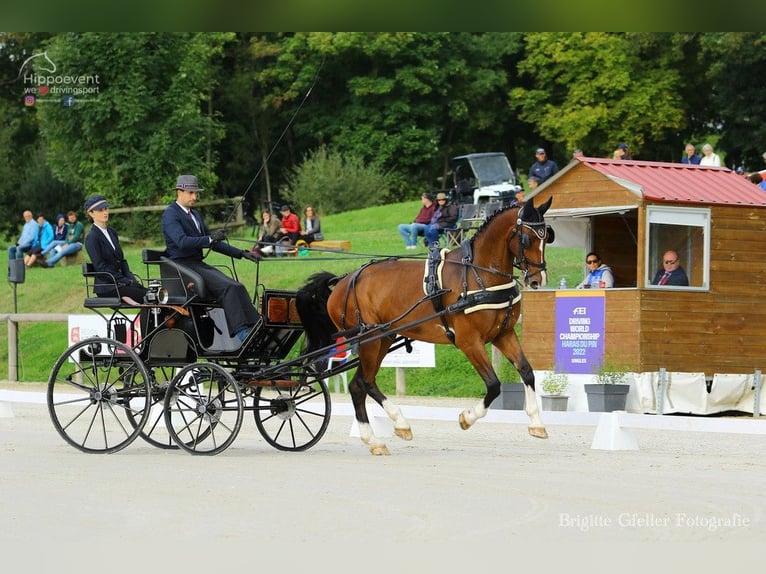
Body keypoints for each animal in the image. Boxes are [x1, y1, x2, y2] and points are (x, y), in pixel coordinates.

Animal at [296, 200, 556, 456]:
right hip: (370, 339)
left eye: (547, 236)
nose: (538, 280)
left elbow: (526, 371)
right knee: (361, 384)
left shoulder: (503, 334)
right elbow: (493, 385)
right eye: (527, 239)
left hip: (384, 337)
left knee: (362, 383)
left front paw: (537, 424)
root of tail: (343, 280)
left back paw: (390, 431)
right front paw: (466, 418)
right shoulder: (469, 342)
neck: (477, 275)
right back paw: (381, 434)